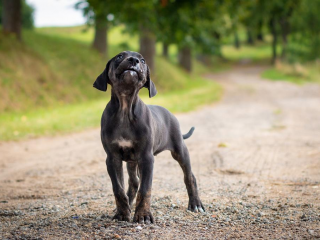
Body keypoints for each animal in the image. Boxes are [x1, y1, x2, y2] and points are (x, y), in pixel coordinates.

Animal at [94, 50, 204, 223]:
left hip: (180, 150)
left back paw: (195, 204)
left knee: (189, 177)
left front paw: (143, 216)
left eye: (143, 60)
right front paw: (122, 213)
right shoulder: (112, 158)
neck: (125, 109)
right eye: (119, 56)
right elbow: (118, 188)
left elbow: (145, 189)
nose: (134, 60)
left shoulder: (146, 158)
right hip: (132, 161)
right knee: (133, 182)